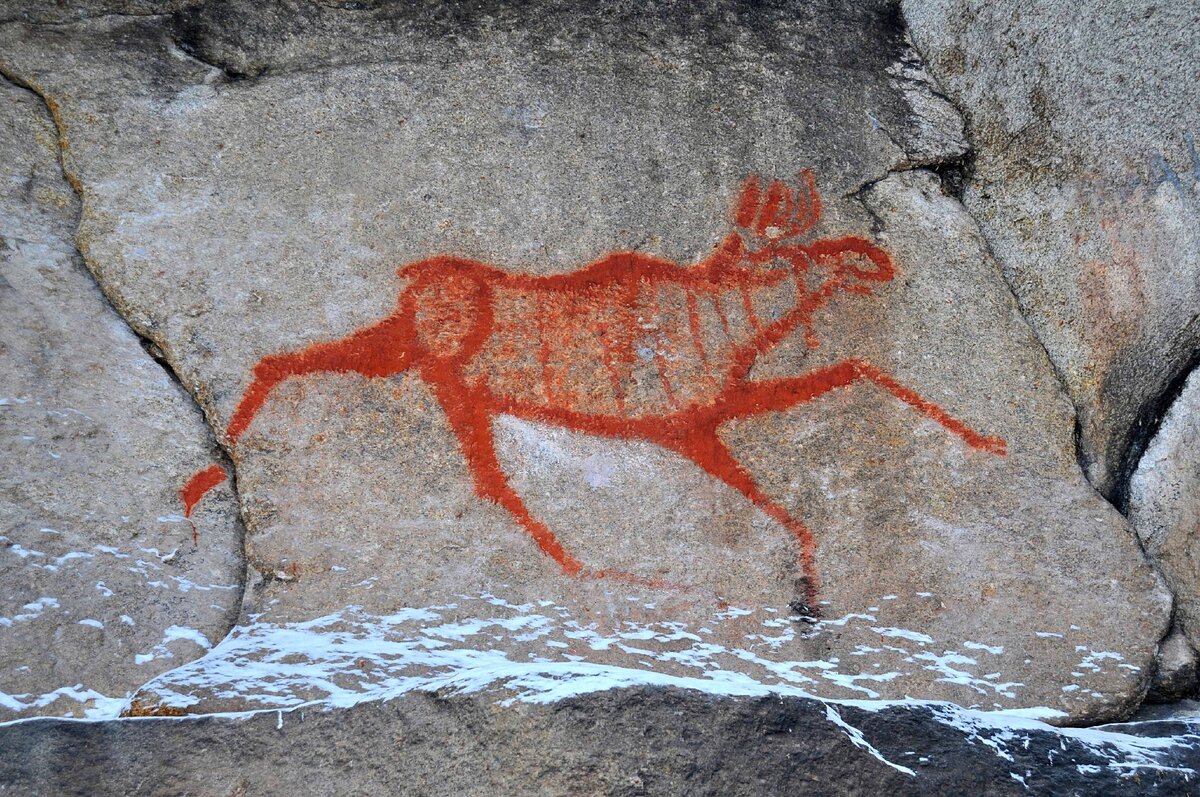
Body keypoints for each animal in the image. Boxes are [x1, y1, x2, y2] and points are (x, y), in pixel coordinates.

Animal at [194, 171, 1003, 612]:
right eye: (785, 255)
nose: (873, 258)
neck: (726, 325)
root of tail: (420, 279)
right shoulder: (690, 428)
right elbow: (792, 510)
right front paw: (805, 587)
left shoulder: (717, 414)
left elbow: (861, 369)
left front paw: (988, 442)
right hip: (439, 378)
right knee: (494, 487)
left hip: (417, 363)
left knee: (290, 366)